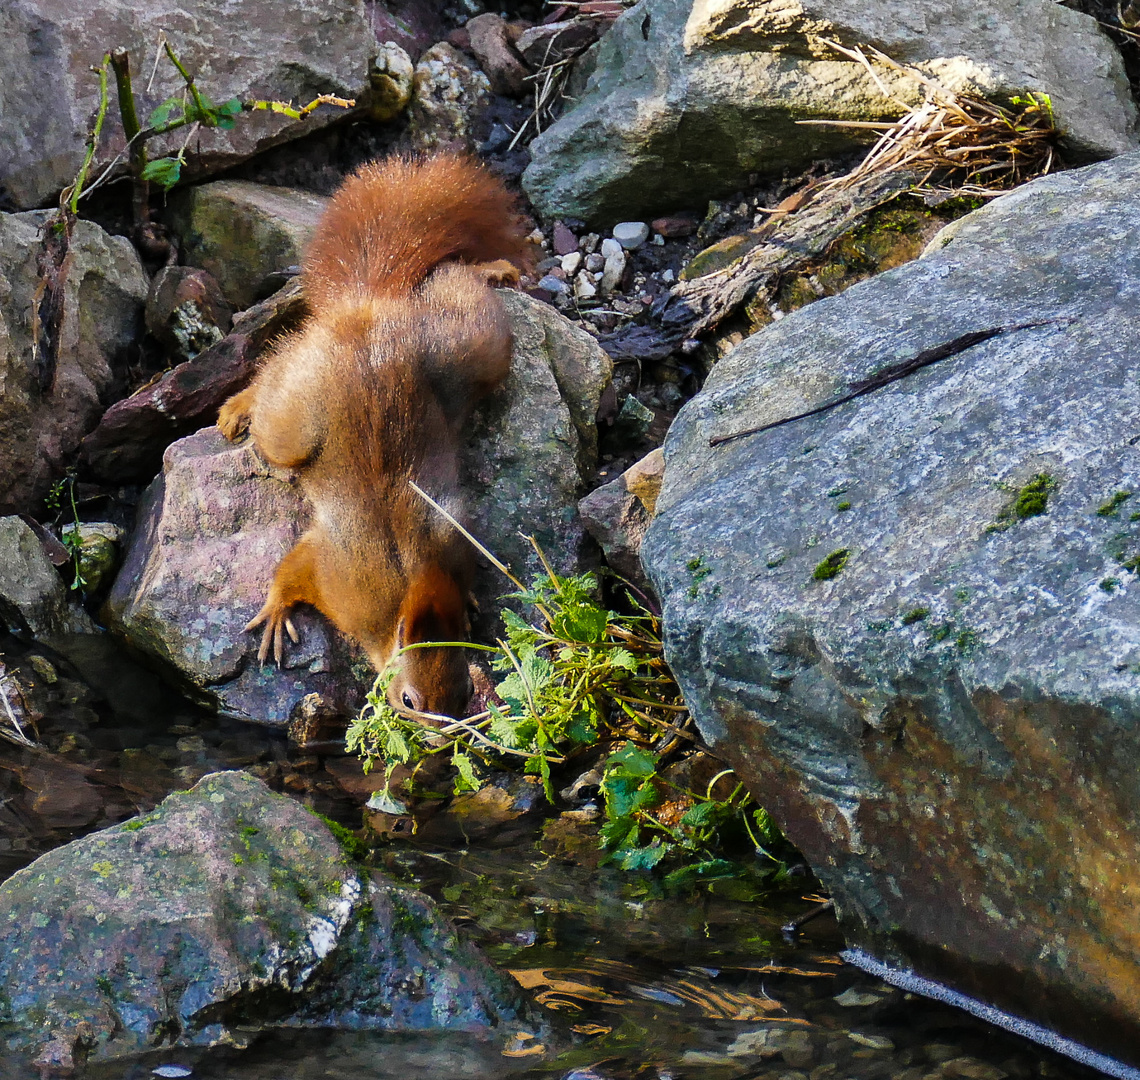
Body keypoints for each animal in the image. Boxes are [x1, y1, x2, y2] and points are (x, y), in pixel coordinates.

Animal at [218, 151, 538, 716]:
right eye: (409, 699)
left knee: (455, 278)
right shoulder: (335, 574)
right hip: (294, 418)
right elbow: (292, 569)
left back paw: (494, 269)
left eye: (462, 692)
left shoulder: (454, 540)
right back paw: (239, 408)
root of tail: (366, 311)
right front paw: (276, 612)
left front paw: (470, 602)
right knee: (270, 383)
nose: (439, 730)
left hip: (467, 347)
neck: (409, 586)